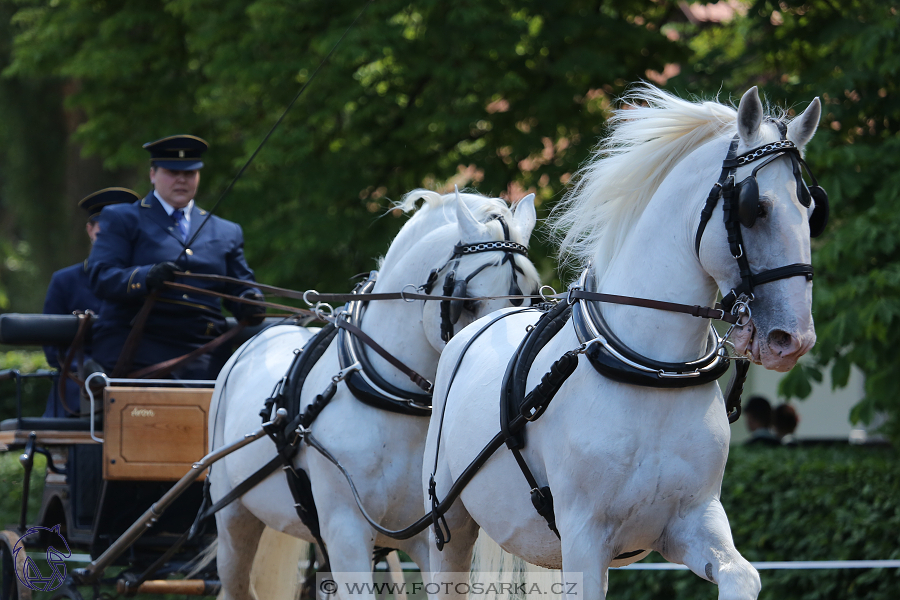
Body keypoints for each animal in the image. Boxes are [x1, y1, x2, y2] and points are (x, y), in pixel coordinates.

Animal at [207, 189, 536, 600]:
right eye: (468, 300)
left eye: (528, 297)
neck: (395, 402)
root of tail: (264, 335)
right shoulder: (346, 530)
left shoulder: (426, 534)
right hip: (233, 518)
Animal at [426, 85, 828, 600]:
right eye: (754, 207)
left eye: (811, 210)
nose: (791, 339)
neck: (653, 371)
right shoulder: (583, 537)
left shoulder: (690, 520)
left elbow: (742, 575)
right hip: (450, 525)